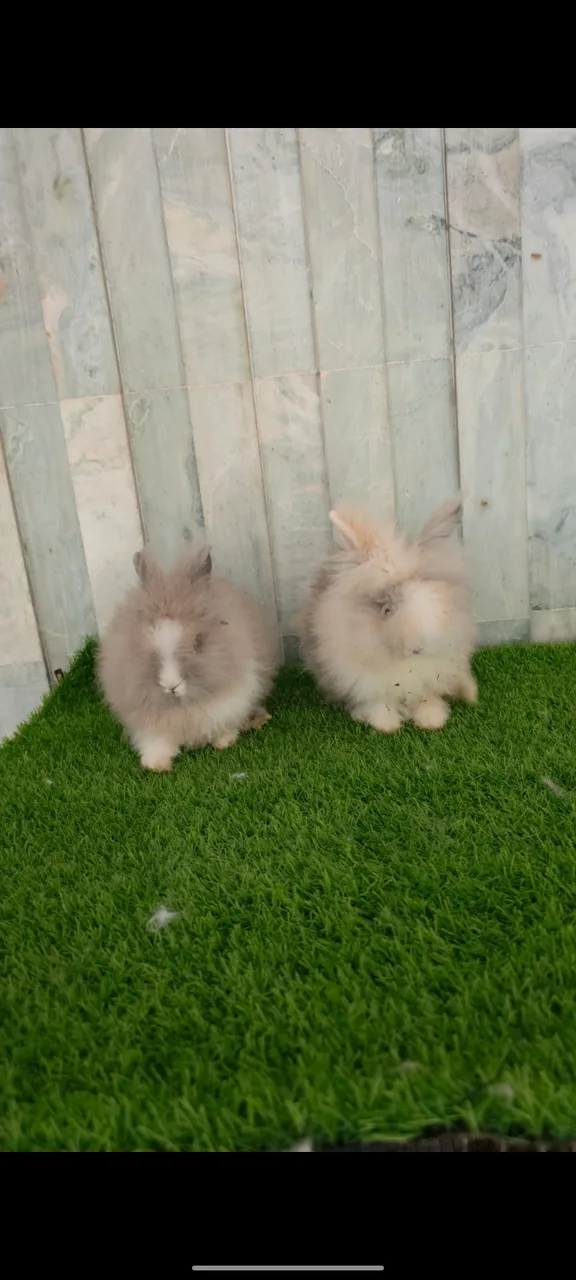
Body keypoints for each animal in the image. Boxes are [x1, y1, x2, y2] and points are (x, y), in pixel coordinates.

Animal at [98, 544, 277, 771]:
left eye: (198, 643)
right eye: (141, 645)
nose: (171, 686)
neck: (183, 707)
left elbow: (224, 726)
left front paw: (224, 743)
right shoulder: (149, 723)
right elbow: (156, 743)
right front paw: (155, 765)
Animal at [298, 496, 477, 734]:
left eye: (433, 601)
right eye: (386, 610)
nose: (417, 648)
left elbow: (426, 699)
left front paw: (431, 721)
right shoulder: (365, 682)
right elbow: (379, 703)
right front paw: (386, 726)